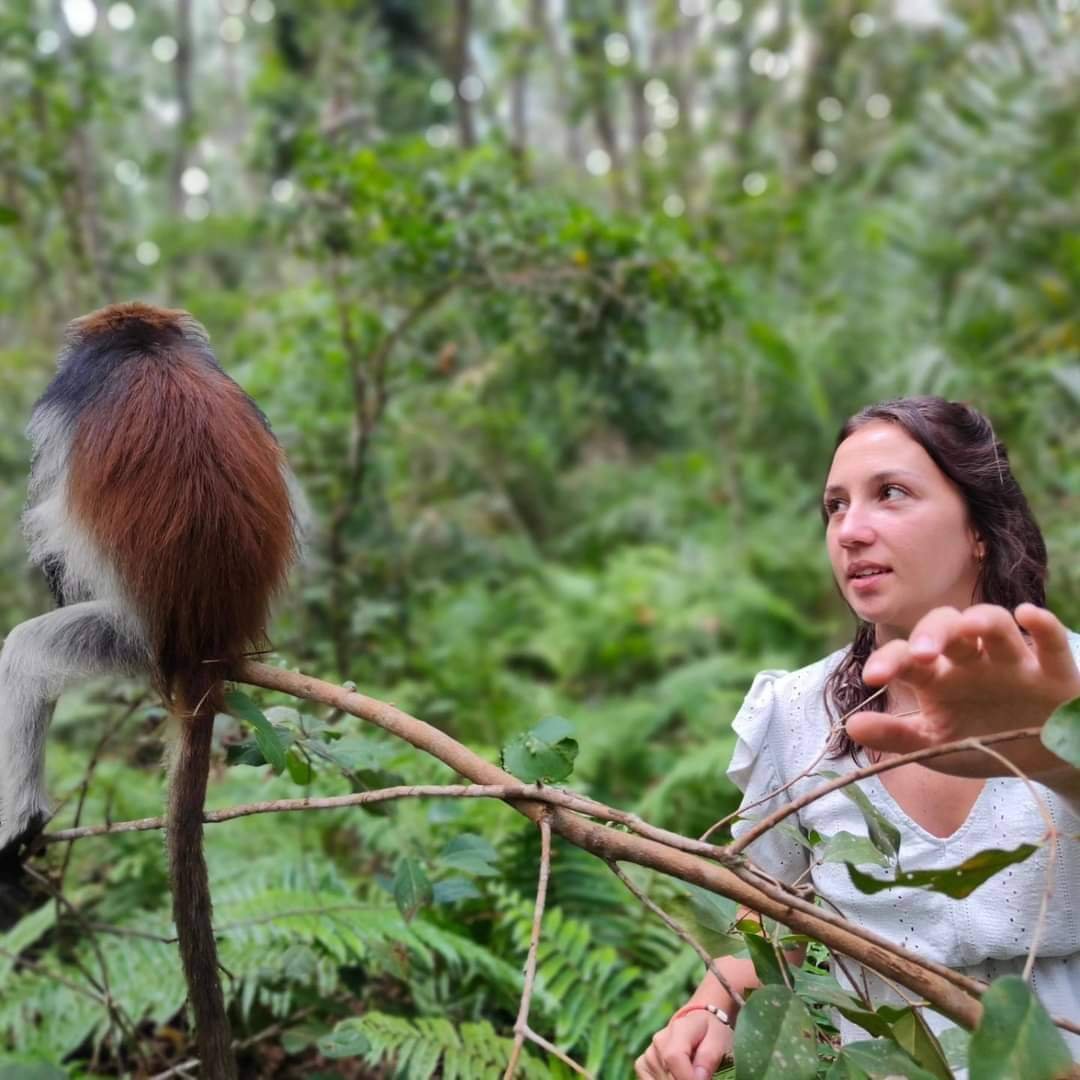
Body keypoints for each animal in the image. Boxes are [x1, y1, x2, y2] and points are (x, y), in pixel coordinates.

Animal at [0, 302, 300, 1079]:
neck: (146, 348)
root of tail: (201, 647)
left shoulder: (65, 400)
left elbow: (51, 522)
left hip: (123, 636)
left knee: (23, 655)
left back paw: (19, 824)